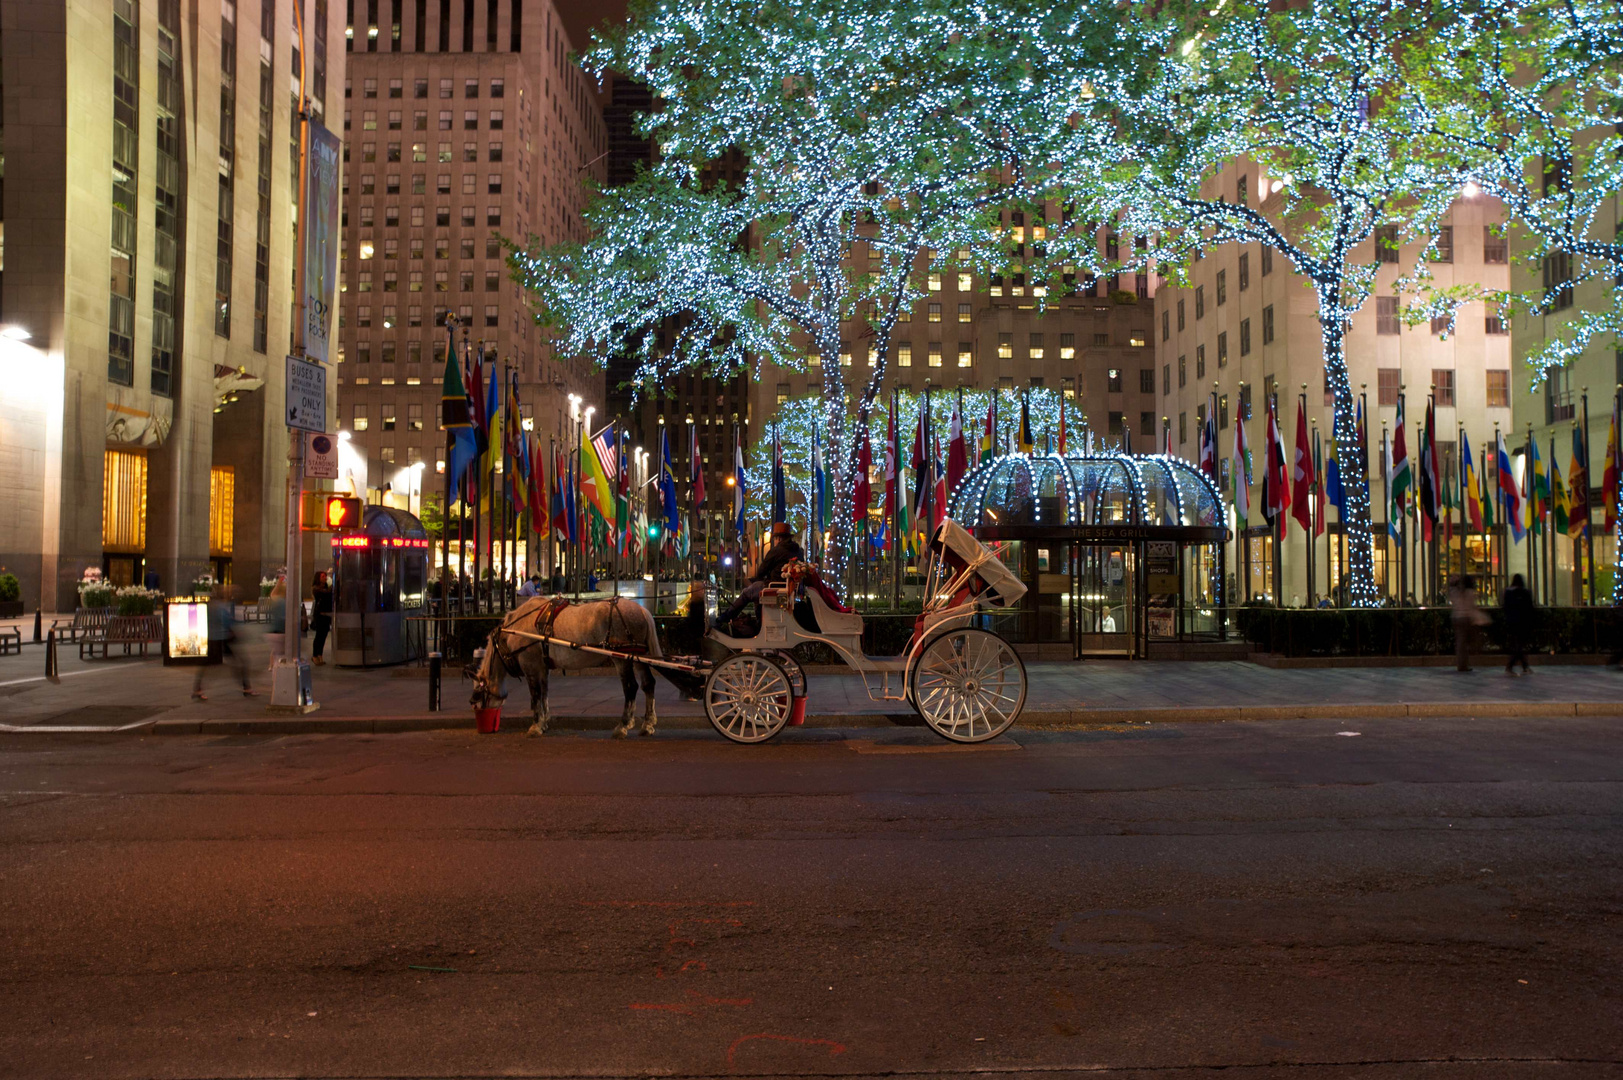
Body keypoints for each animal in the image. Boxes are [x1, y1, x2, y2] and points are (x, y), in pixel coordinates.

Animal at [470, 594, 678, 737]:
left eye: (478, 696)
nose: (482, 721)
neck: (513, 630)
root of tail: (642, 610)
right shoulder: (543, 668)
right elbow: (544, 694)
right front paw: (544, 722)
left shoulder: (530, 665)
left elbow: (535, 696)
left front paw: (536, 725)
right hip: (638, 657)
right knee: (648, 684)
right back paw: (647, 724)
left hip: (622, 658)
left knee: (630, 687)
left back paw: (623, 725)